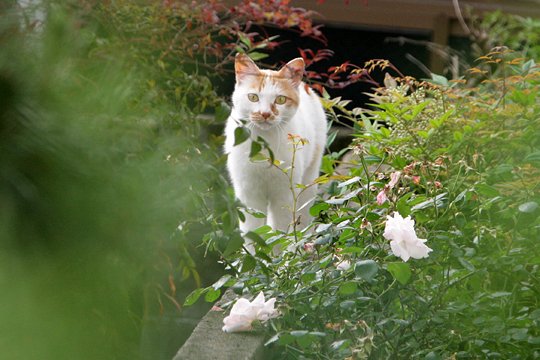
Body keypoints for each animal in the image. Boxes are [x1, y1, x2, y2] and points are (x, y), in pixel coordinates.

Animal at [223, 52, 324, 239]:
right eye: (253, 97)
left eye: (281, 100)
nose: (265, 114)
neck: (263, 146)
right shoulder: (249, 195)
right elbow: (252, 233)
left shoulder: (284, 196)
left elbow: (279, 233)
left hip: (307, 184)